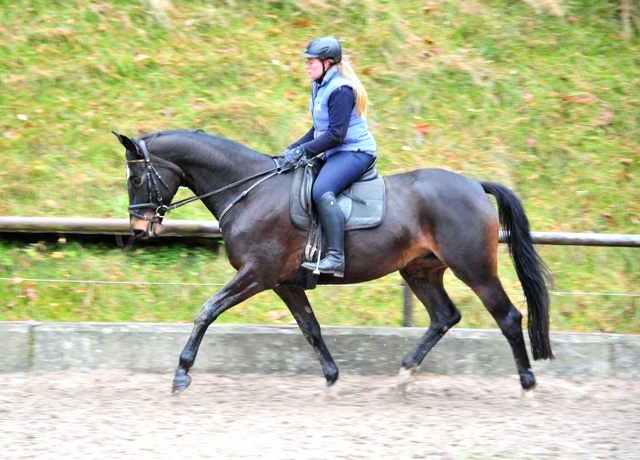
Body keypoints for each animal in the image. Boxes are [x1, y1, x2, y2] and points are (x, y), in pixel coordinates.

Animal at [112, 128, 552, 398]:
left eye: (136, 179)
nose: (138, 229)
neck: (251, 190)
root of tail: (475, 185)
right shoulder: (284, 283)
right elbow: (311, 329)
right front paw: (332, 379)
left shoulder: (257, 274)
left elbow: (206, 311)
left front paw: (181, 374)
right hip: (420, 270)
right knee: (445, 316)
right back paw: (404, 374)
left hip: (474, 268)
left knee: (508, 317)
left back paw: (528, 385)